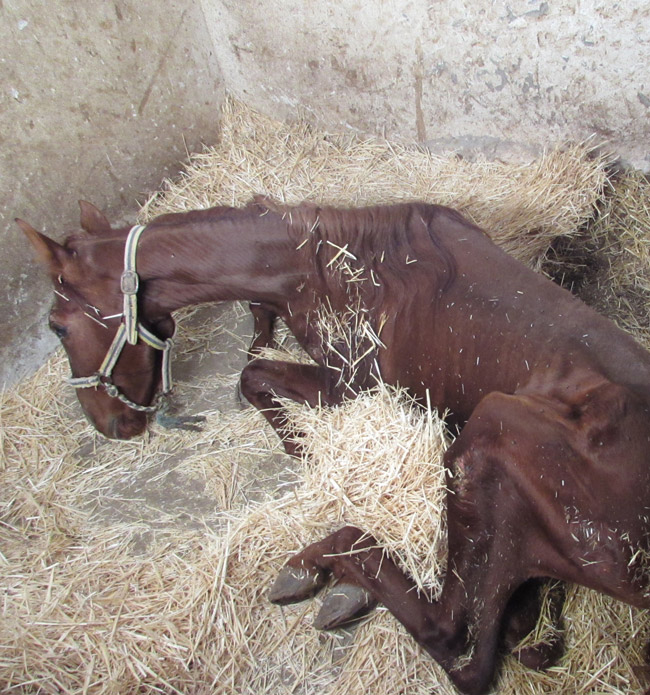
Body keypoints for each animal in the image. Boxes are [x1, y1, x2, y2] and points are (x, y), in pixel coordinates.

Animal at [18, 198, 650, 694]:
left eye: (56, 325)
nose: (110, 424)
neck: (316, 263)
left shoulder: (355, 384)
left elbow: (251, 377)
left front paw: (298, 443)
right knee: (507, 617)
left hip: (492, 433)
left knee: (455, 639)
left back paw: (314, 568)